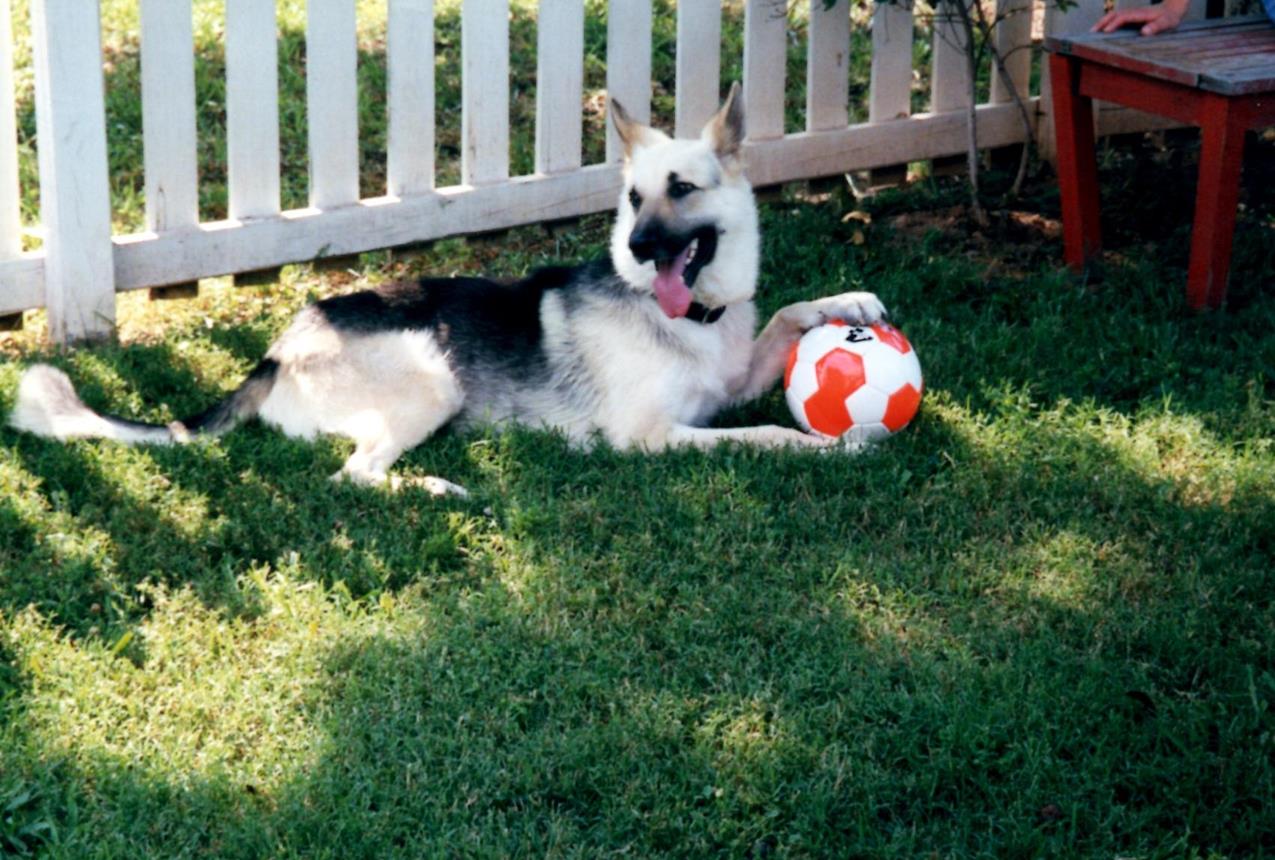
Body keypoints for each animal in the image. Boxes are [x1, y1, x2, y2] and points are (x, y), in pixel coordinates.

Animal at [12, 86, 887, 496]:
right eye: (635, 199)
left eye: (681, 189)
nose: (638, 249)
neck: (691, 316)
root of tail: (278, 349)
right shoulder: (649, 437)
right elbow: (767, 436)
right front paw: (836, 444)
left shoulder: (731, 379)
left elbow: (785, 316)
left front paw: (851, 304)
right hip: (432, 377)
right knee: (354, 477)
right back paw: (435, 485)